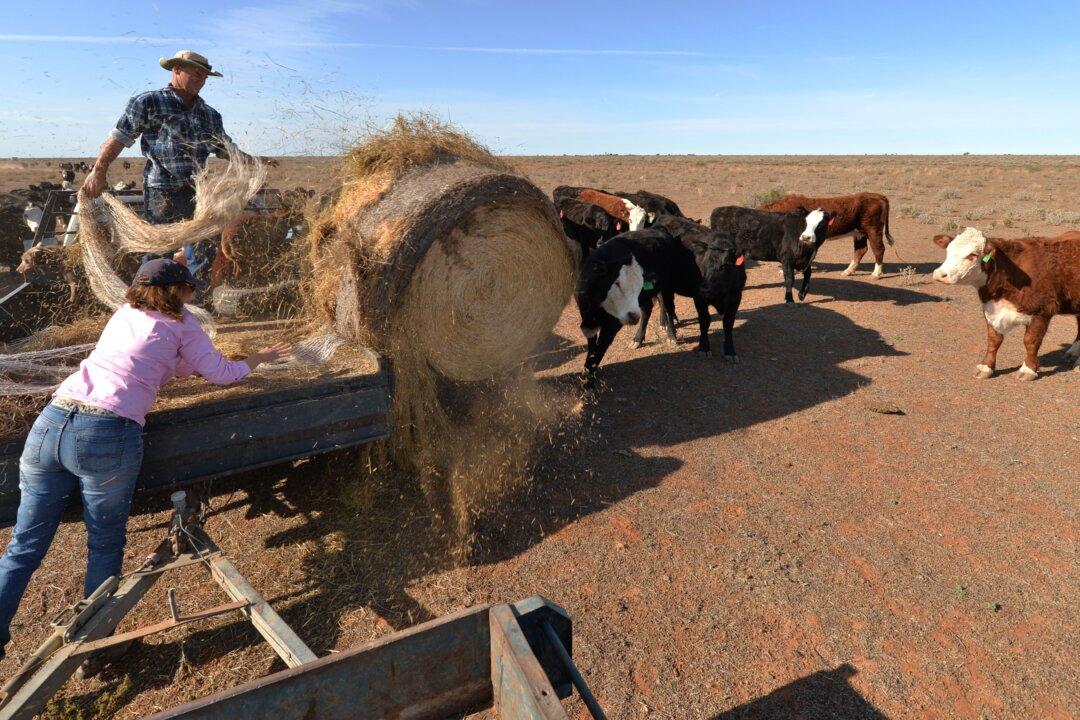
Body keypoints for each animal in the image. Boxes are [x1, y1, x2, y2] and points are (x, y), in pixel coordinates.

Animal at [576, 223, 746, 385]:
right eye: (703, 263)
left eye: (725, 265)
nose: (704, 288)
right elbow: (593, 349)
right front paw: (587, 375)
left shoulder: (734, 298)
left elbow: (726, 323)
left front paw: (729, 351)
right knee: (653, 309)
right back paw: (641, 337)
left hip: (664, 289)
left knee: (666, 308)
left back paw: (669, 333)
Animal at [759, 192, 894, 279]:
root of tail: (878, 196)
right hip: (859, 232)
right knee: (861, 250)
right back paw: (848, 271)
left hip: (873, 230)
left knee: (878, 249)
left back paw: (876, 274)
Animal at [932, 227, 1080, 380]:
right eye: (948, 250)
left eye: (972, 255)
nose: (939, 274)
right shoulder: (991, 309)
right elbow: (993, 340)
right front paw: (985, 367)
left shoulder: (1042, 310)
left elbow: (1031, 341)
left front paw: (1028, 370)